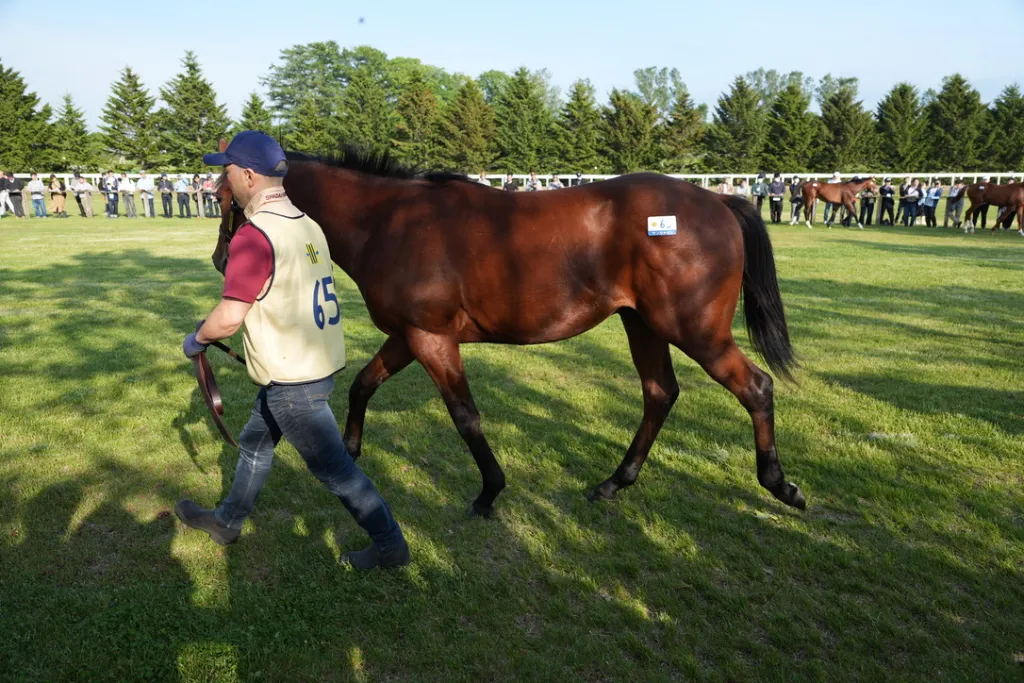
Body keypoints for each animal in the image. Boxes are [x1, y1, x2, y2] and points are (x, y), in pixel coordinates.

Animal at [211, 142, 805, 518]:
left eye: (222, 198)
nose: (221, 260)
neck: (391, 222)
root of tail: (719, 199)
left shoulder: (431, 339)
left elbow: (465, 416)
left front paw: (488, 491)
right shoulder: (408, 336)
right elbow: (363, 383)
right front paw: (351, 449)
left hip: (695, 330)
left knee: (755, 388)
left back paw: (780, 485)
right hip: (644, 325)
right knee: (660, 393)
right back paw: (615, 481)